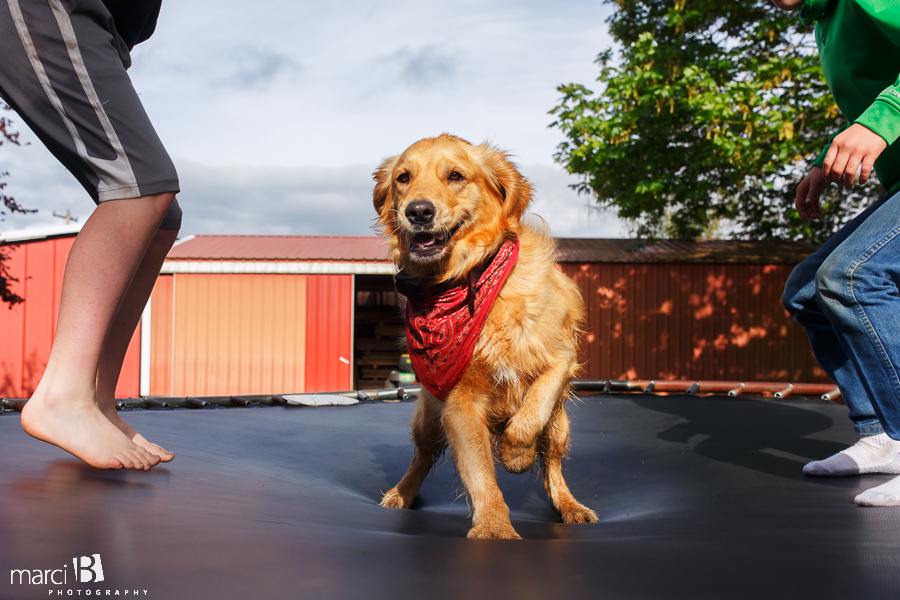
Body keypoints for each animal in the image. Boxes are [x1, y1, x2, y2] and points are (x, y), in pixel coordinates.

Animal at [372, 132, 596, 540]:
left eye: (455, 176)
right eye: (403, 178)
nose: (418, 211)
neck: (467, 277)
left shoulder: (561, 360)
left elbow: (531, 411)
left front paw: (516, 454)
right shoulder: (458, 401)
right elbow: (479, 472)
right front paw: (494, 527)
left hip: (559, 427)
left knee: (553, 467)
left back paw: (570, 505)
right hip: (428, 416)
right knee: (422, 457)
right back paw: (401, 493)